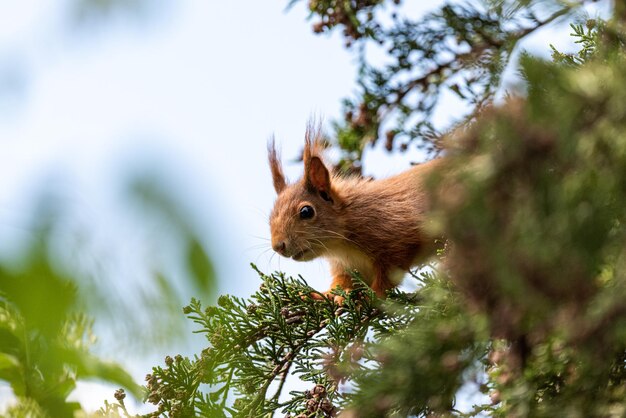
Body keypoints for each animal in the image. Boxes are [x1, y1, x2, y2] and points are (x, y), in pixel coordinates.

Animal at [266, 122, 442, 298]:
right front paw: (323, 295)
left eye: (306, 212)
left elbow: (387, 277)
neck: (340, 245)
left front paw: (370, 296)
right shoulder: (347, 266)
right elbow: (341, 282)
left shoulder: (395, 238)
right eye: (270, 217)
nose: (278, 246)